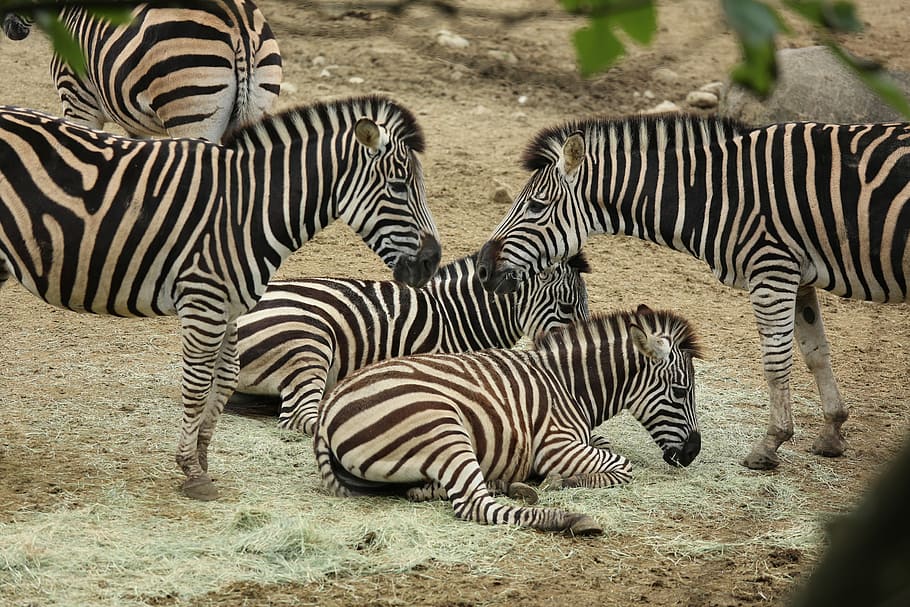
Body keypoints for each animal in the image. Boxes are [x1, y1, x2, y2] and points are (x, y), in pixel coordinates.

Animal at [0, 95, 441, 500]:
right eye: (399, 186)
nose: (433, 261)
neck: (248, 207)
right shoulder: (204, 299)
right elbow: (196, 384)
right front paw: (192, 472)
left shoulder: (228, 304)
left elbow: (227, 375)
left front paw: (202, 460)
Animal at [2, 0, 282, 141]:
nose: (9, 27)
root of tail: (239, 24)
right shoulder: (133, 122)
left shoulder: (77, 100)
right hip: (256, 108)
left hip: (192, 116)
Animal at [313, 304, 702, 534]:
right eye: (681, 391)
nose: (693, 453)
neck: (568, 385)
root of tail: (327, 411)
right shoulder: (556, 445)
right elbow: (621, 466)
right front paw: (558, 481)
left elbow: (607, 448)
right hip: (443, 427)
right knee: (475, 505)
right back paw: (568, 518)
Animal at [475, 113, 910, 470]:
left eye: (536, 206)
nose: (481, 268)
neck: (720, 193)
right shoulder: (798, 277)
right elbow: (816, 353)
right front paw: (832, 434)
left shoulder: (771, 269)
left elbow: (775, 362)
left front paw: (770, 444)